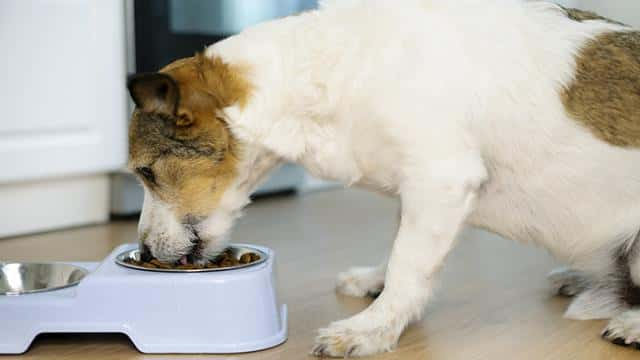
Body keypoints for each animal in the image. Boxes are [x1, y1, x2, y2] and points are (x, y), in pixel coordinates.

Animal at [126, 0, 640, 358]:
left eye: (147, 172)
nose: (145, 252)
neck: (333, 75)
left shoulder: (440, 181)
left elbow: (408, 267)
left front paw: (371, 329)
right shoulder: (415, 192)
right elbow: (397, 250)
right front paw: (376, 281)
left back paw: (630, 322)